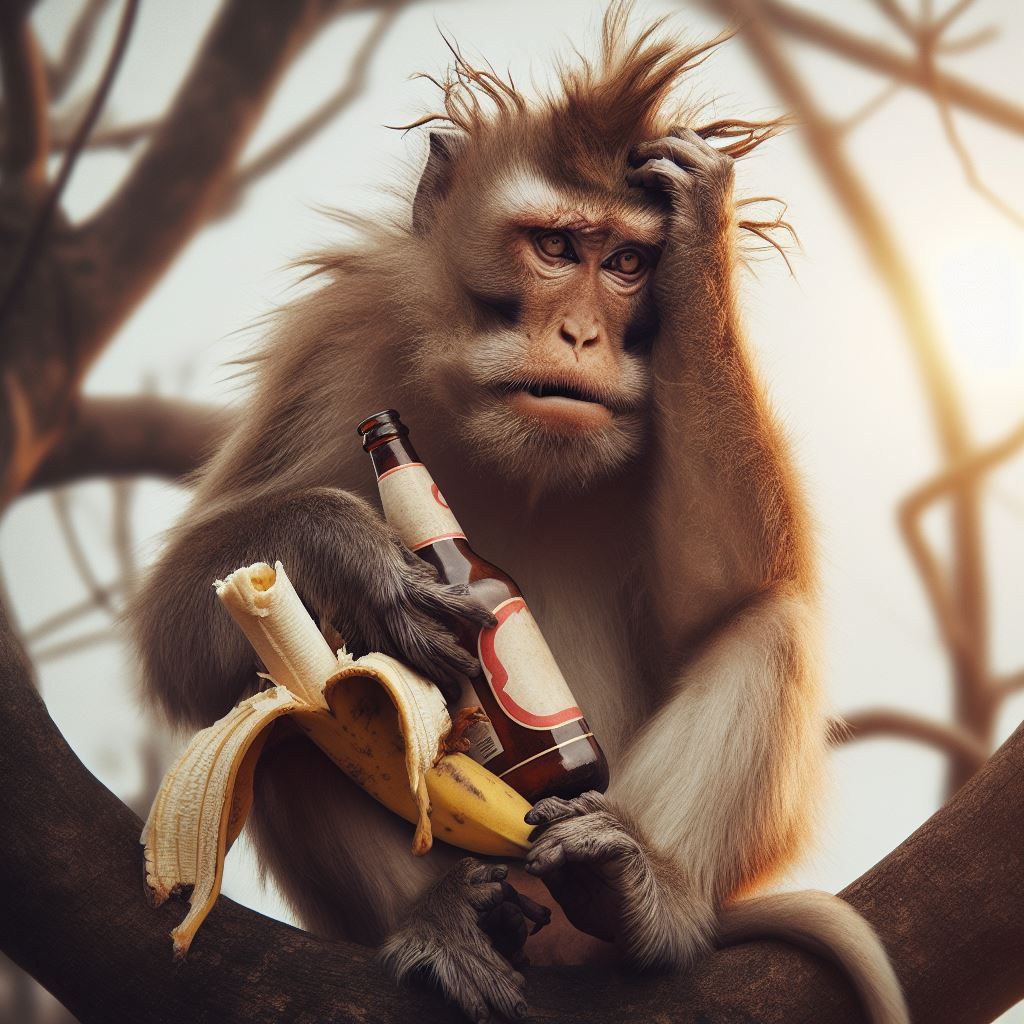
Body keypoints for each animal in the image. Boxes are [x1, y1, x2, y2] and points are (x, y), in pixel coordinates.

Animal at [130, 4, 908, 1023]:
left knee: (771, 623)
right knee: (285, 700)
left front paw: (703, 222)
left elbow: (726, 595)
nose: (580, 333)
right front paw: (352, 557)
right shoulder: (334, 341)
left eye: (629, 262)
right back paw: (440, 917)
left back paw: (642, 896)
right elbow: (182, 628)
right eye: (555, 247)